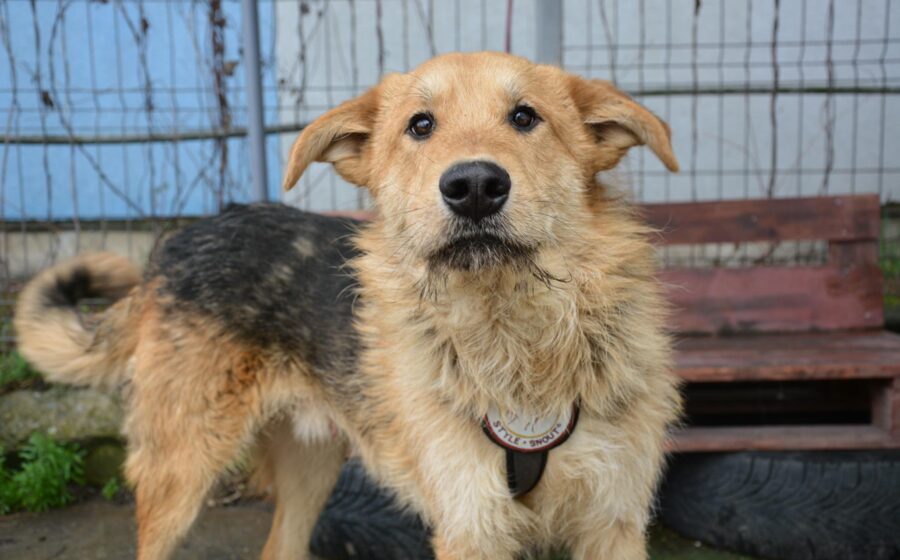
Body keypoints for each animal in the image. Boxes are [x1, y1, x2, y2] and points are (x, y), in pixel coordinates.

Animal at [15, 52, 681, 559]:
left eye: (525, 117)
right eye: (420, 126)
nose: (473, 187)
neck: (515, 332)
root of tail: (178, 242)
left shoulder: (614, 522)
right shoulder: (470, 526)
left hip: (309, 466)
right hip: (179, 471)